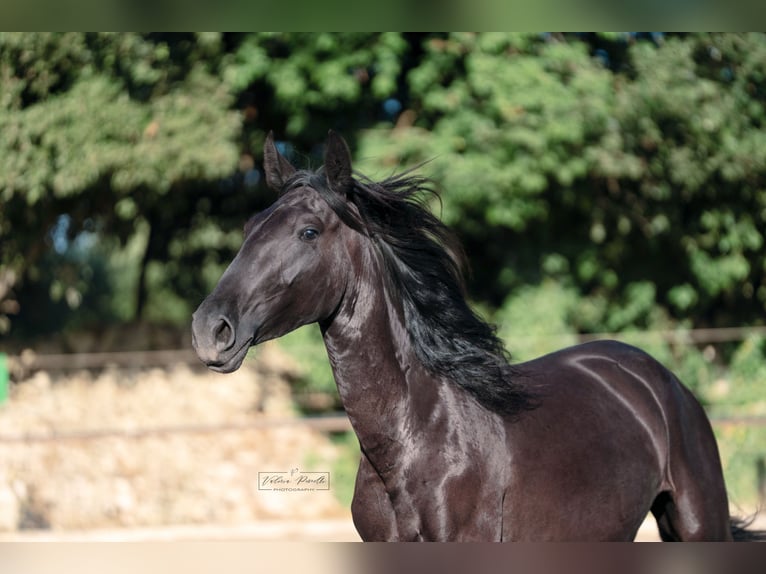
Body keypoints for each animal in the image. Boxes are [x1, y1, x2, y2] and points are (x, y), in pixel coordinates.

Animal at [191, 131, 764, 541]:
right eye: (249, 228)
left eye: (308, 232)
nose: (210, 330)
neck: (417, 442)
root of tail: (659, 380)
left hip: (699, 524)